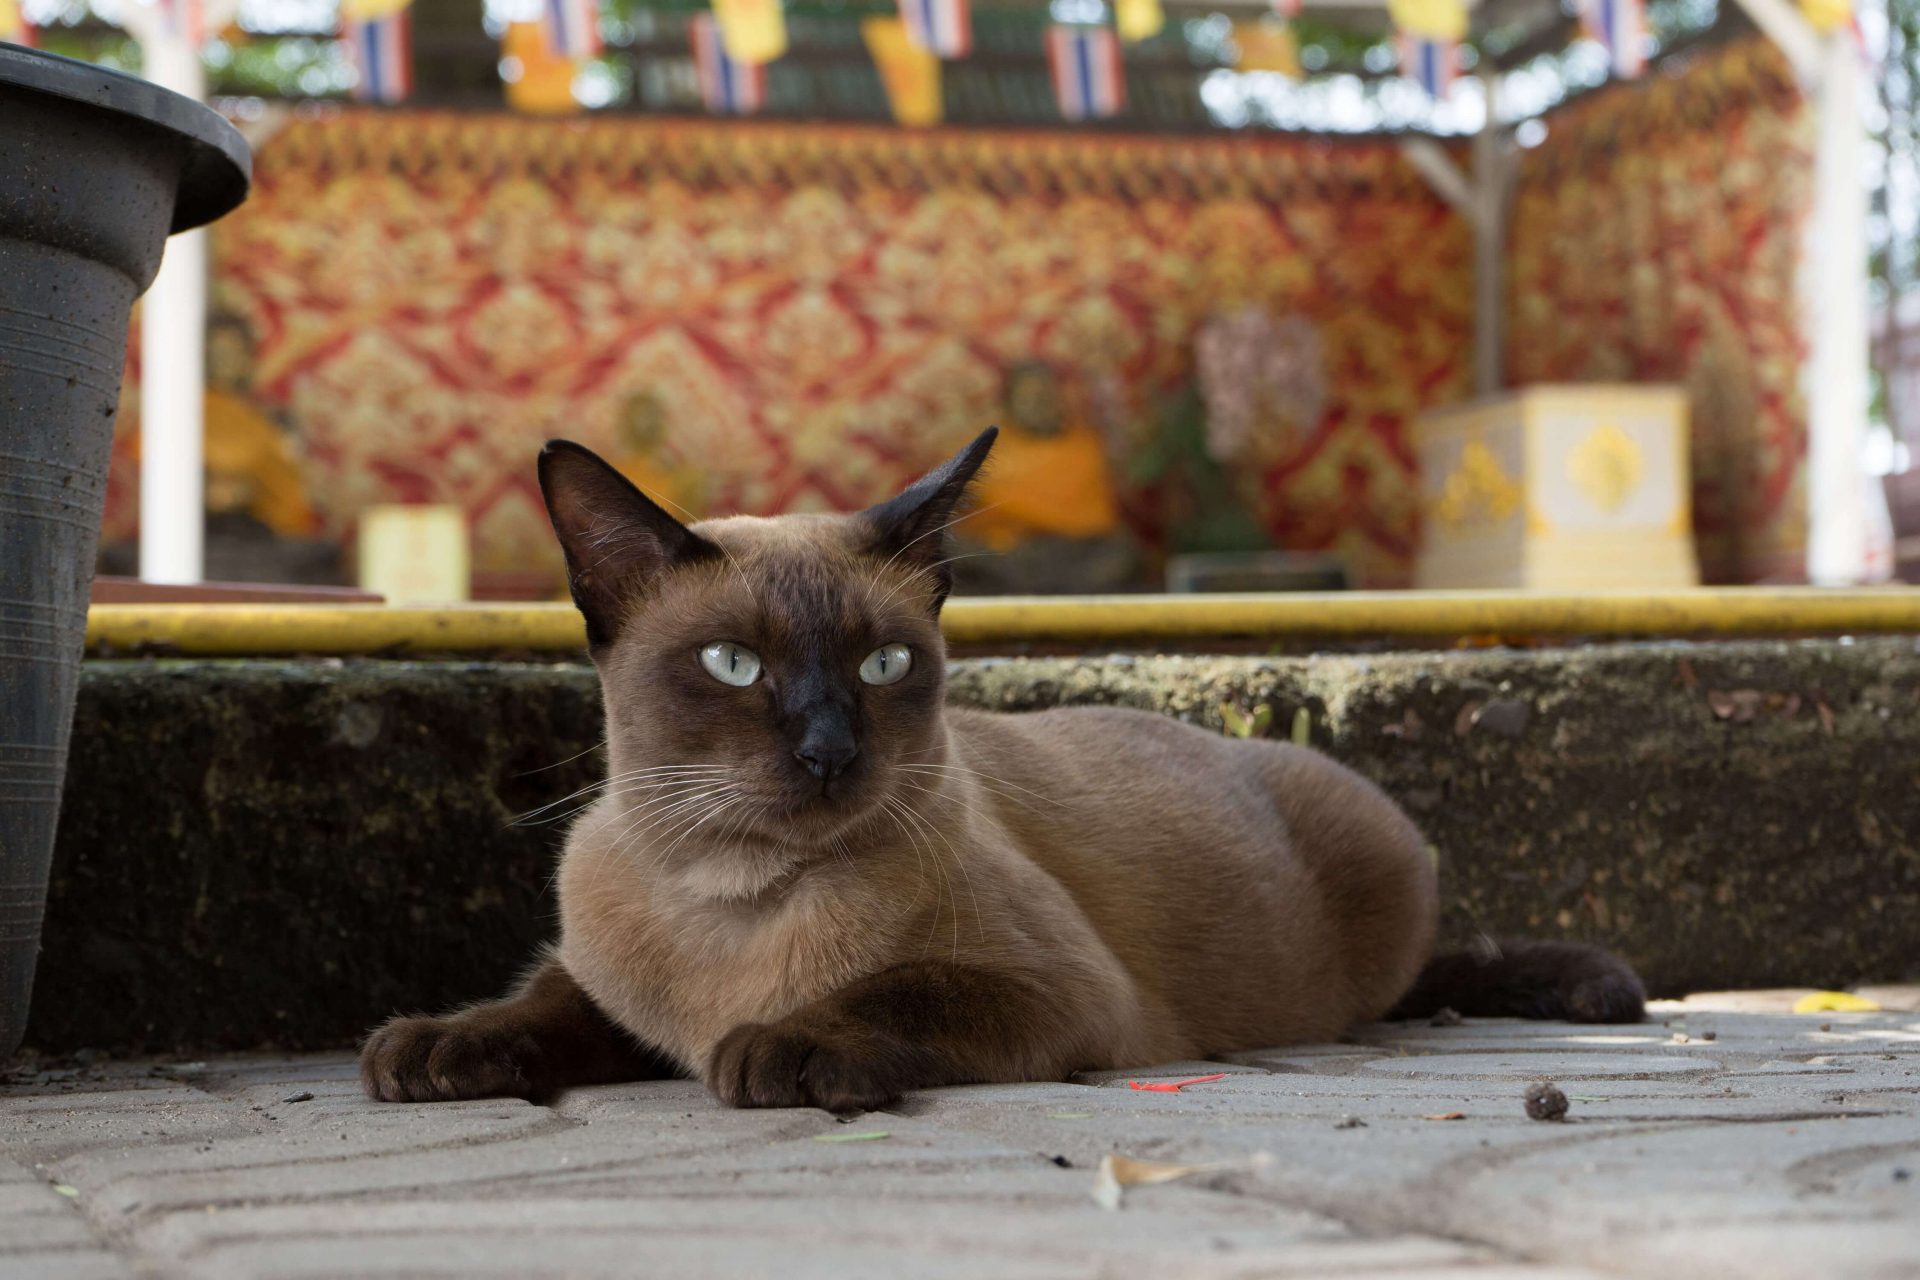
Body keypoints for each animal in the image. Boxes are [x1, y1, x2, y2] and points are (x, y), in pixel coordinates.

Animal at [366, 429, 1643, 1113]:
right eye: (734, 664)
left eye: (883, 663)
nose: (829, 751)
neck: (730, 898)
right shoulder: (609, 992)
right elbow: (544, 1001)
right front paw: (431, 1045)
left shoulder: (1060, 995)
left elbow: (887, 990)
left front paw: (779, 1044)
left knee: (1419, 976)